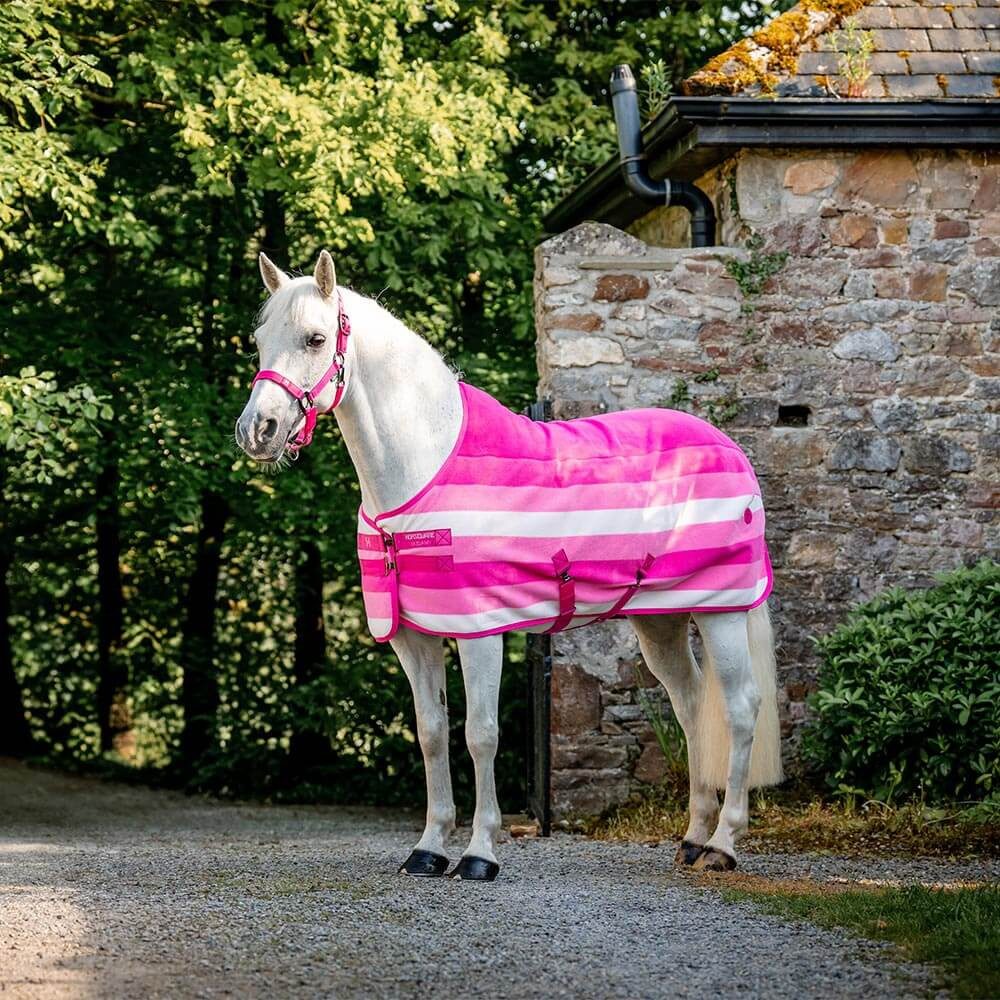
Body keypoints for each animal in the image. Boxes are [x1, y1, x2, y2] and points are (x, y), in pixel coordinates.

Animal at [235, 250, 782, 881]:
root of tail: (729, 447)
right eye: (259, 341)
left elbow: (481, 735)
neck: (422, 468)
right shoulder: (414, 637)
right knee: (691, 704)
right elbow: (431, 733)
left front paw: (479, 854)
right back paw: (692, 838)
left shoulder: (480, 632)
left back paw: (722, 844)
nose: (257, 431)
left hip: (721, 611)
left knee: (739, 709)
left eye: (315, 338)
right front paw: (428, 848)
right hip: (660, 620)